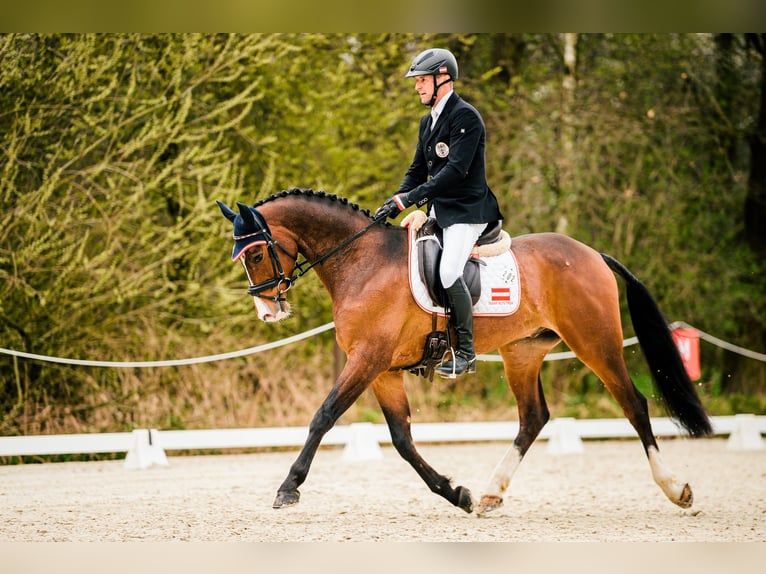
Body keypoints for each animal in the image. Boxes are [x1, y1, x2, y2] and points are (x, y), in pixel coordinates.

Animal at [216, 189, 712, 516]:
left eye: (256, 255)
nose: (268, 311)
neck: (362, 261)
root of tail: (592, 254)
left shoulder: (367, 360)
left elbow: (323, 416)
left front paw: (288, 487)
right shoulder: (383, 371)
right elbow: (402, 440)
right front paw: (456, 493)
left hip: (596, 343)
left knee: (634, 404)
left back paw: (676, 490)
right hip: (522, 353)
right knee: (533, 417)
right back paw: (491, 494)